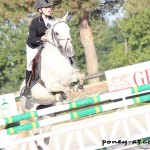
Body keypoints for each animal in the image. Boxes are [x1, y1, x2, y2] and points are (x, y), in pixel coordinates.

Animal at [18, 13, 85, 149]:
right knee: (36, 136)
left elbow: (81, 75)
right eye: (57, 33)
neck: (59, 57)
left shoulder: (72, 75)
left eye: (69, 29)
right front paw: (66, 93)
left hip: (47, 113)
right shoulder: (51, 85)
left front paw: (78, 88)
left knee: (45, 135)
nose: (70, 50)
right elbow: (64, 88)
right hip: (32, 117)